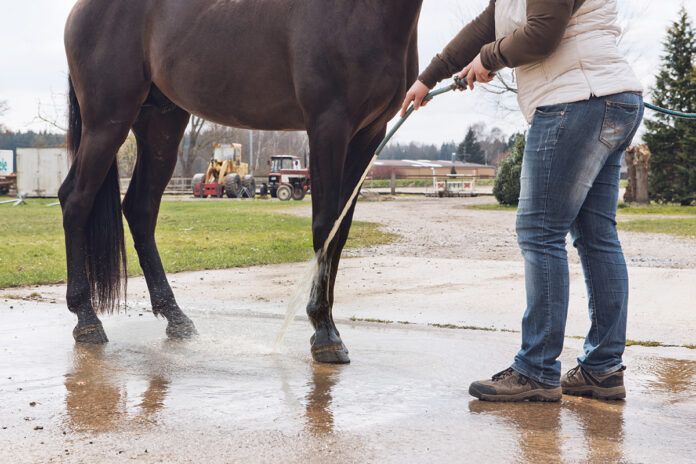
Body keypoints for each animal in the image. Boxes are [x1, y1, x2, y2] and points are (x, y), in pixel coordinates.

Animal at [61, 0, 424, 364]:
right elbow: (325, 226)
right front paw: (324, 334)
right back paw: (87, 321)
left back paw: (176, 318)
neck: (361, 12)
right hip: (107, 121)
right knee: (75, 200)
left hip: (160, 124)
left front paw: (329, 329)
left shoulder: (369, 134)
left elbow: (340, 229)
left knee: (140, 210)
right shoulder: (329, 125)